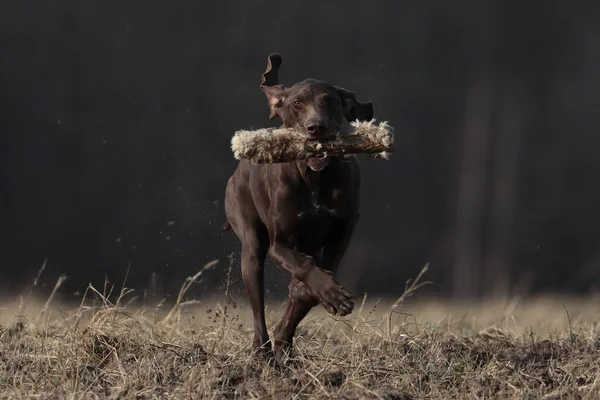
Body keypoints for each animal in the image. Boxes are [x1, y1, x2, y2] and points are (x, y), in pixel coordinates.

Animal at [224, 51, 372, 360]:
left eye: (330, 100)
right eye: (297, 103)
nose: (316, 128)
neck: (313, 177)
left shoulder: (344, 229)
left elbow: (310, 284)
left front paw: (311, 300)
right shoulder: (279, 244)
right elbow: (303, 267)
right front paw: (330, 293)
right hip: (250, 244)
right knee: (257, 303)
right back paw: (262, 349)